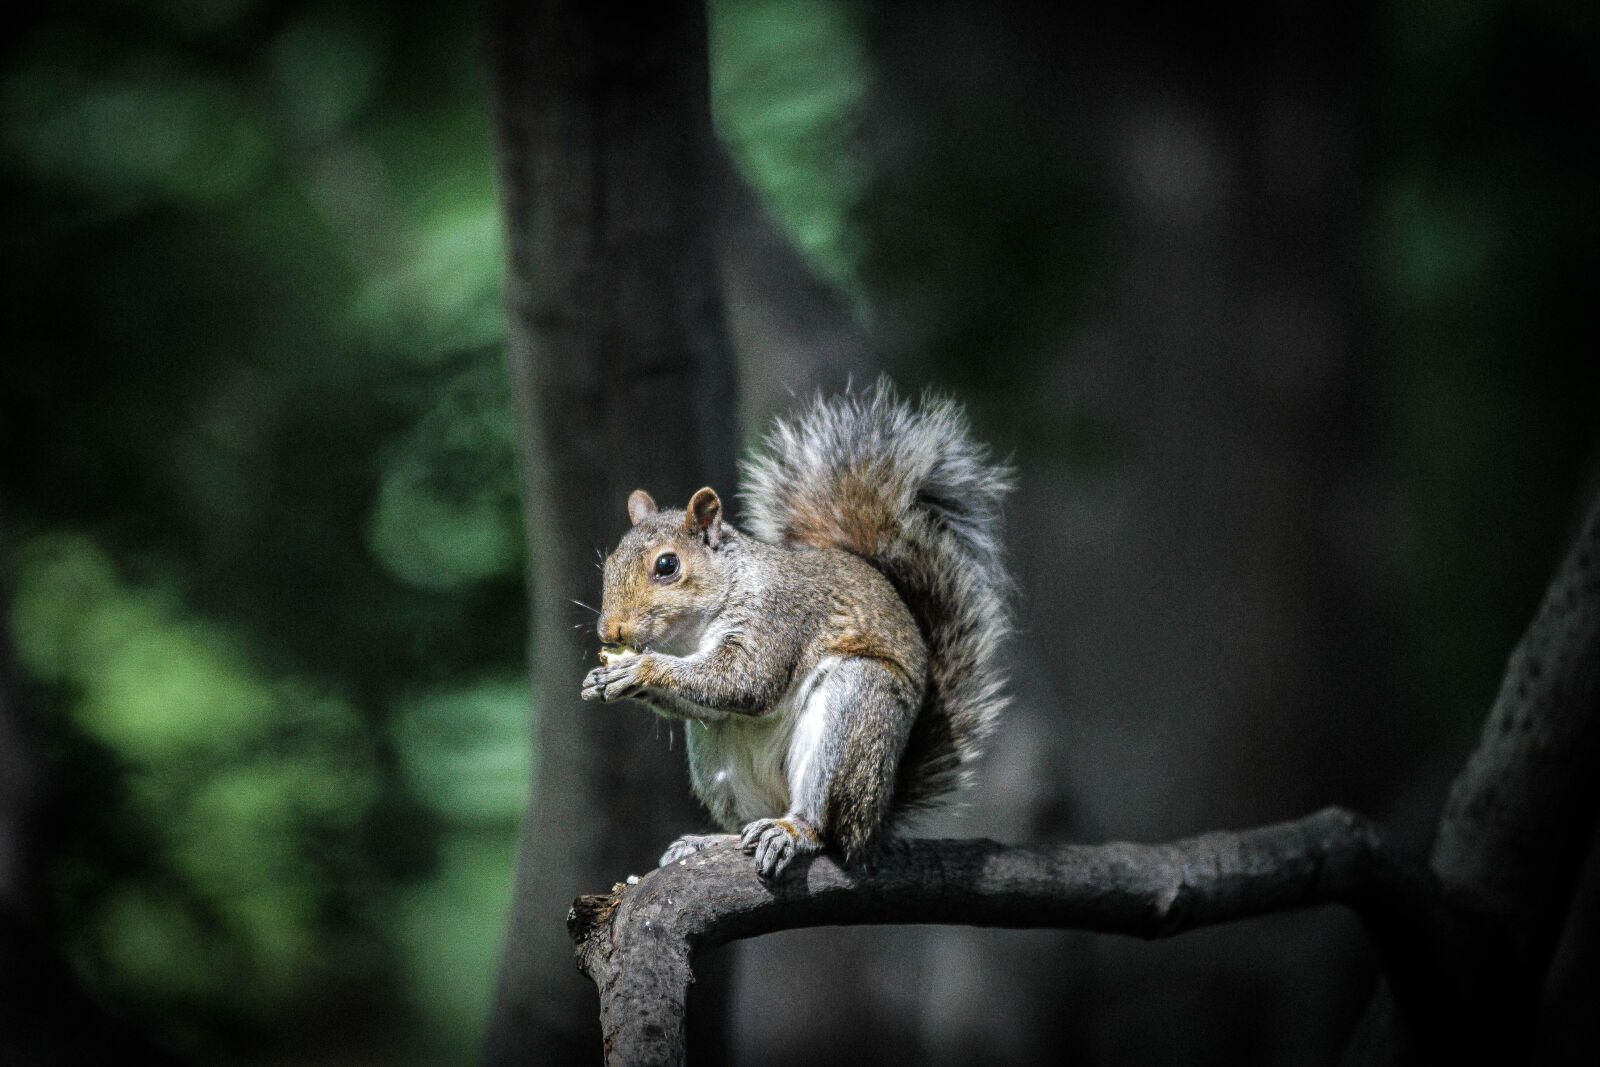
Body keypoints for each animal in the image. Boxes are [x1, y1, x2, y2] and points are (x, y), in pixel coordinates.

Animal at [582, 379, 1011, 883]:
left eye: (667, 565)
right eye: (610, 561)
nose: (610, 630)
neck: (693, 633)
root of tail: (876, 821)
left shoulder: (777, 618)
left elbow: (747, 681)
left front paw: (641, 669)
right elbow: (710, 701)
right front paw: (602, 679)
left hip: (855, 716)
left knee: (825, 825)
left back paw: (792, 830)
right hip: (716, 757)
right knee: (744, 810)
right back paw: (711, 841)